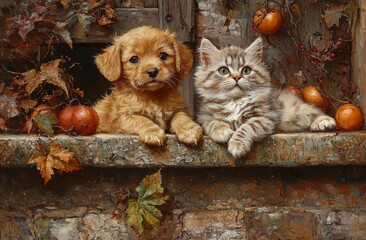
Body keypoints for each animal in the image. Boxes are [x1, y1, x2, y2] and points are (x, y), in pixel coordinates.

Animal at [196, 38, 336, 159]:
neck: (235, 101)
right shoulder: (203, 115)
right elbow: (212, 122)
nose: (236, 77)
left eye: (246, 70)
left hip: (296, 111)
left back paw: (324, 122)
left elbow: (246, 127)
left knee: (314, 112)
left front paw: (237, 145)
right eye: (223, 71)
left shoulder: (266, 116)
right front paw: (223, 131)